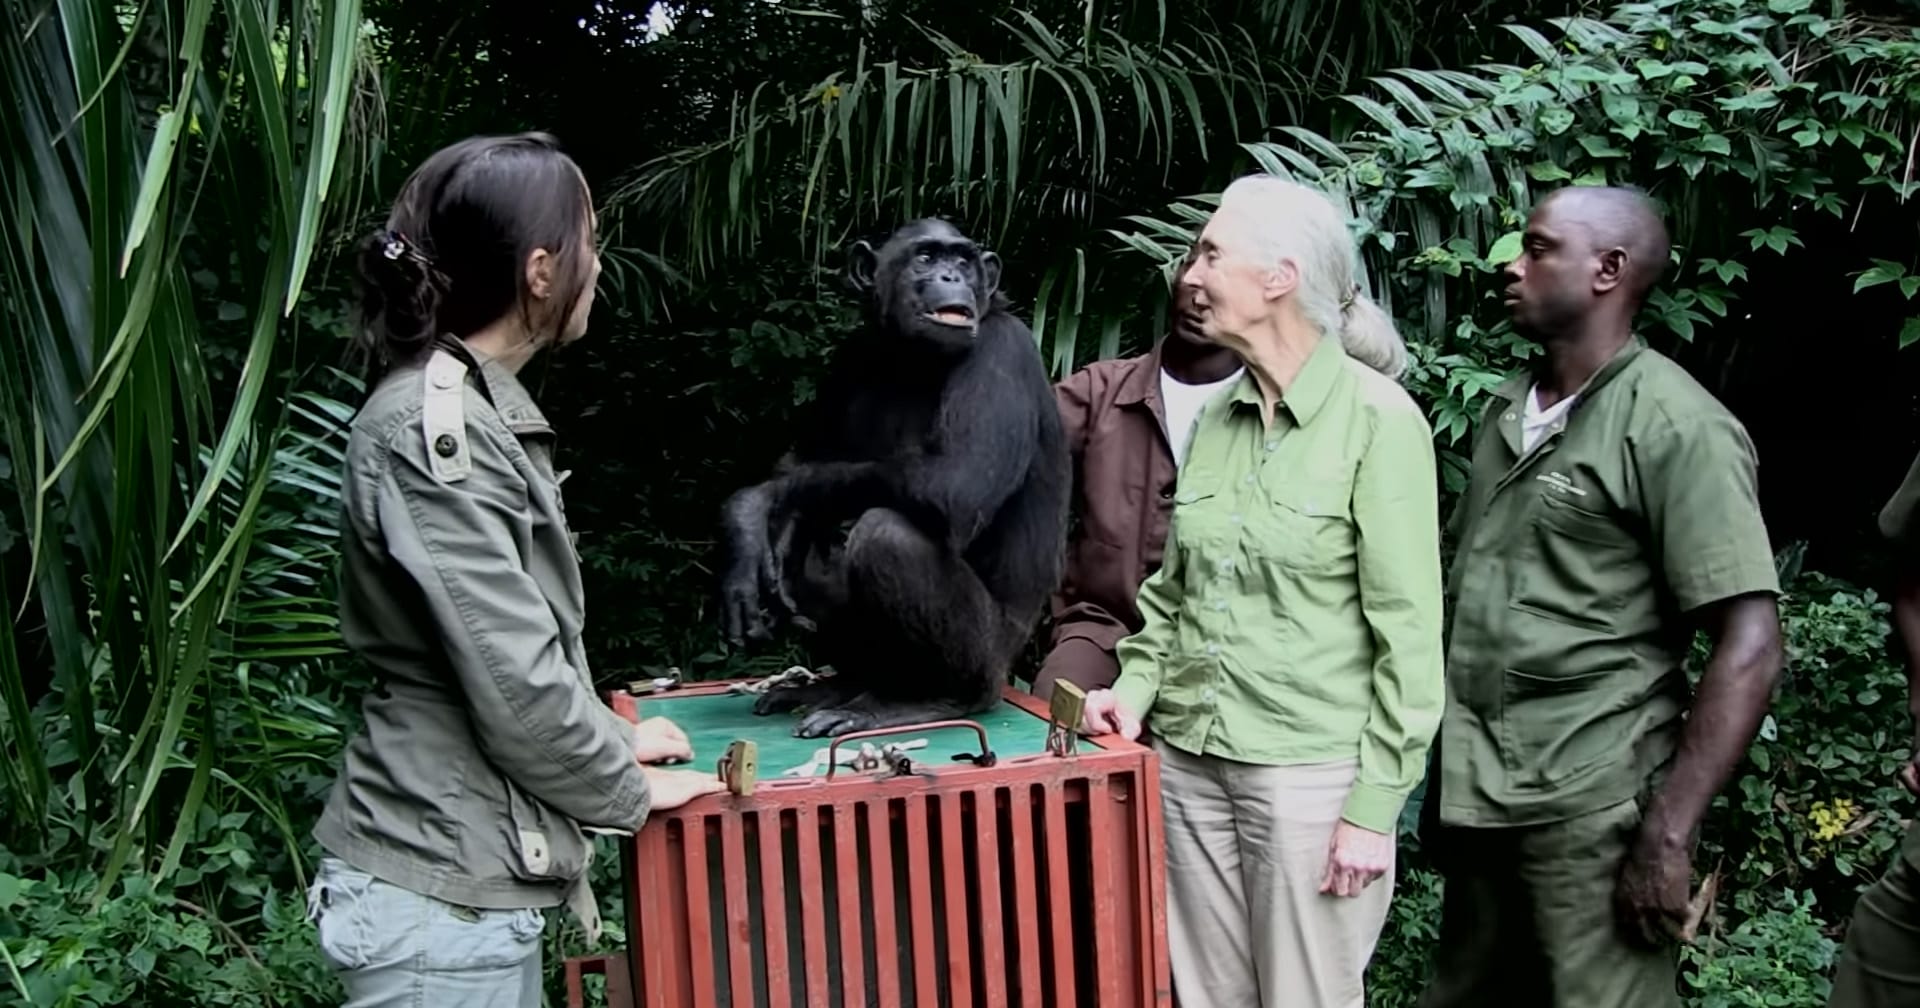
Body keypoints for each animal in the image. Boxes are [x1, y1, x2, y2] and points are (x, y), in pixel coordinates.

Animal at [721, 219, 1082, 733]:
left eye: (963, 260)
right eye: (926, 257)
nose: (951, 276)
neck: (911, 358)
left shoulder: (1002, 352)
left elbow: (958, 482)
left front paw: (756, 504)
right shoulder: (848, 356)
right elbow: (806, 457)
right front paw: (755, 531)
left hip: (991, 657)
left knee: (886, 536)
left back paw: (928, 700)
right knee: (815, 551)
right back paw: (839, 684)